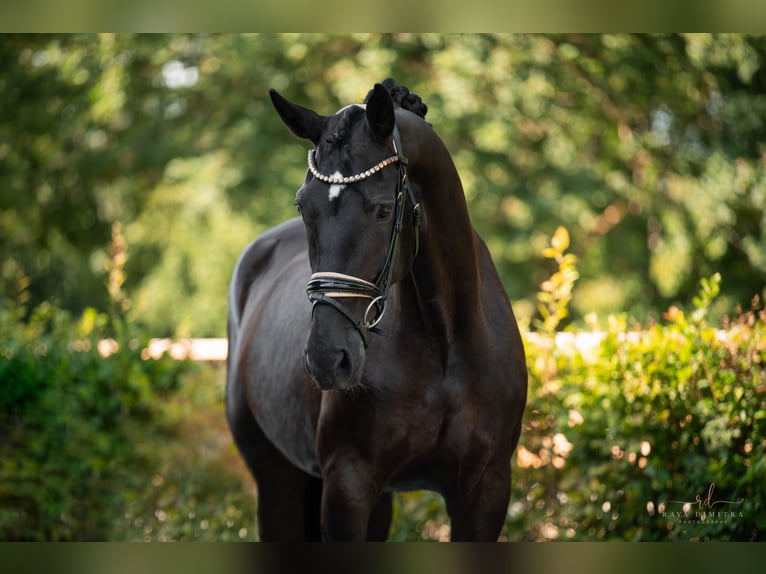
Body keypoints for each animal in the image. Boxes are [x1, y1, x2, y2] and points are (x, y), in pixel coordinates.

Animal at [225, 79, 532, 544]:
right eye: (303, 206)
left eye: (385, 209)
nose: (328, 358)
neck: (446, 345)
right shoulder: (347, 484)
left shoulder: (486, 491)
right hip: (277, 478)